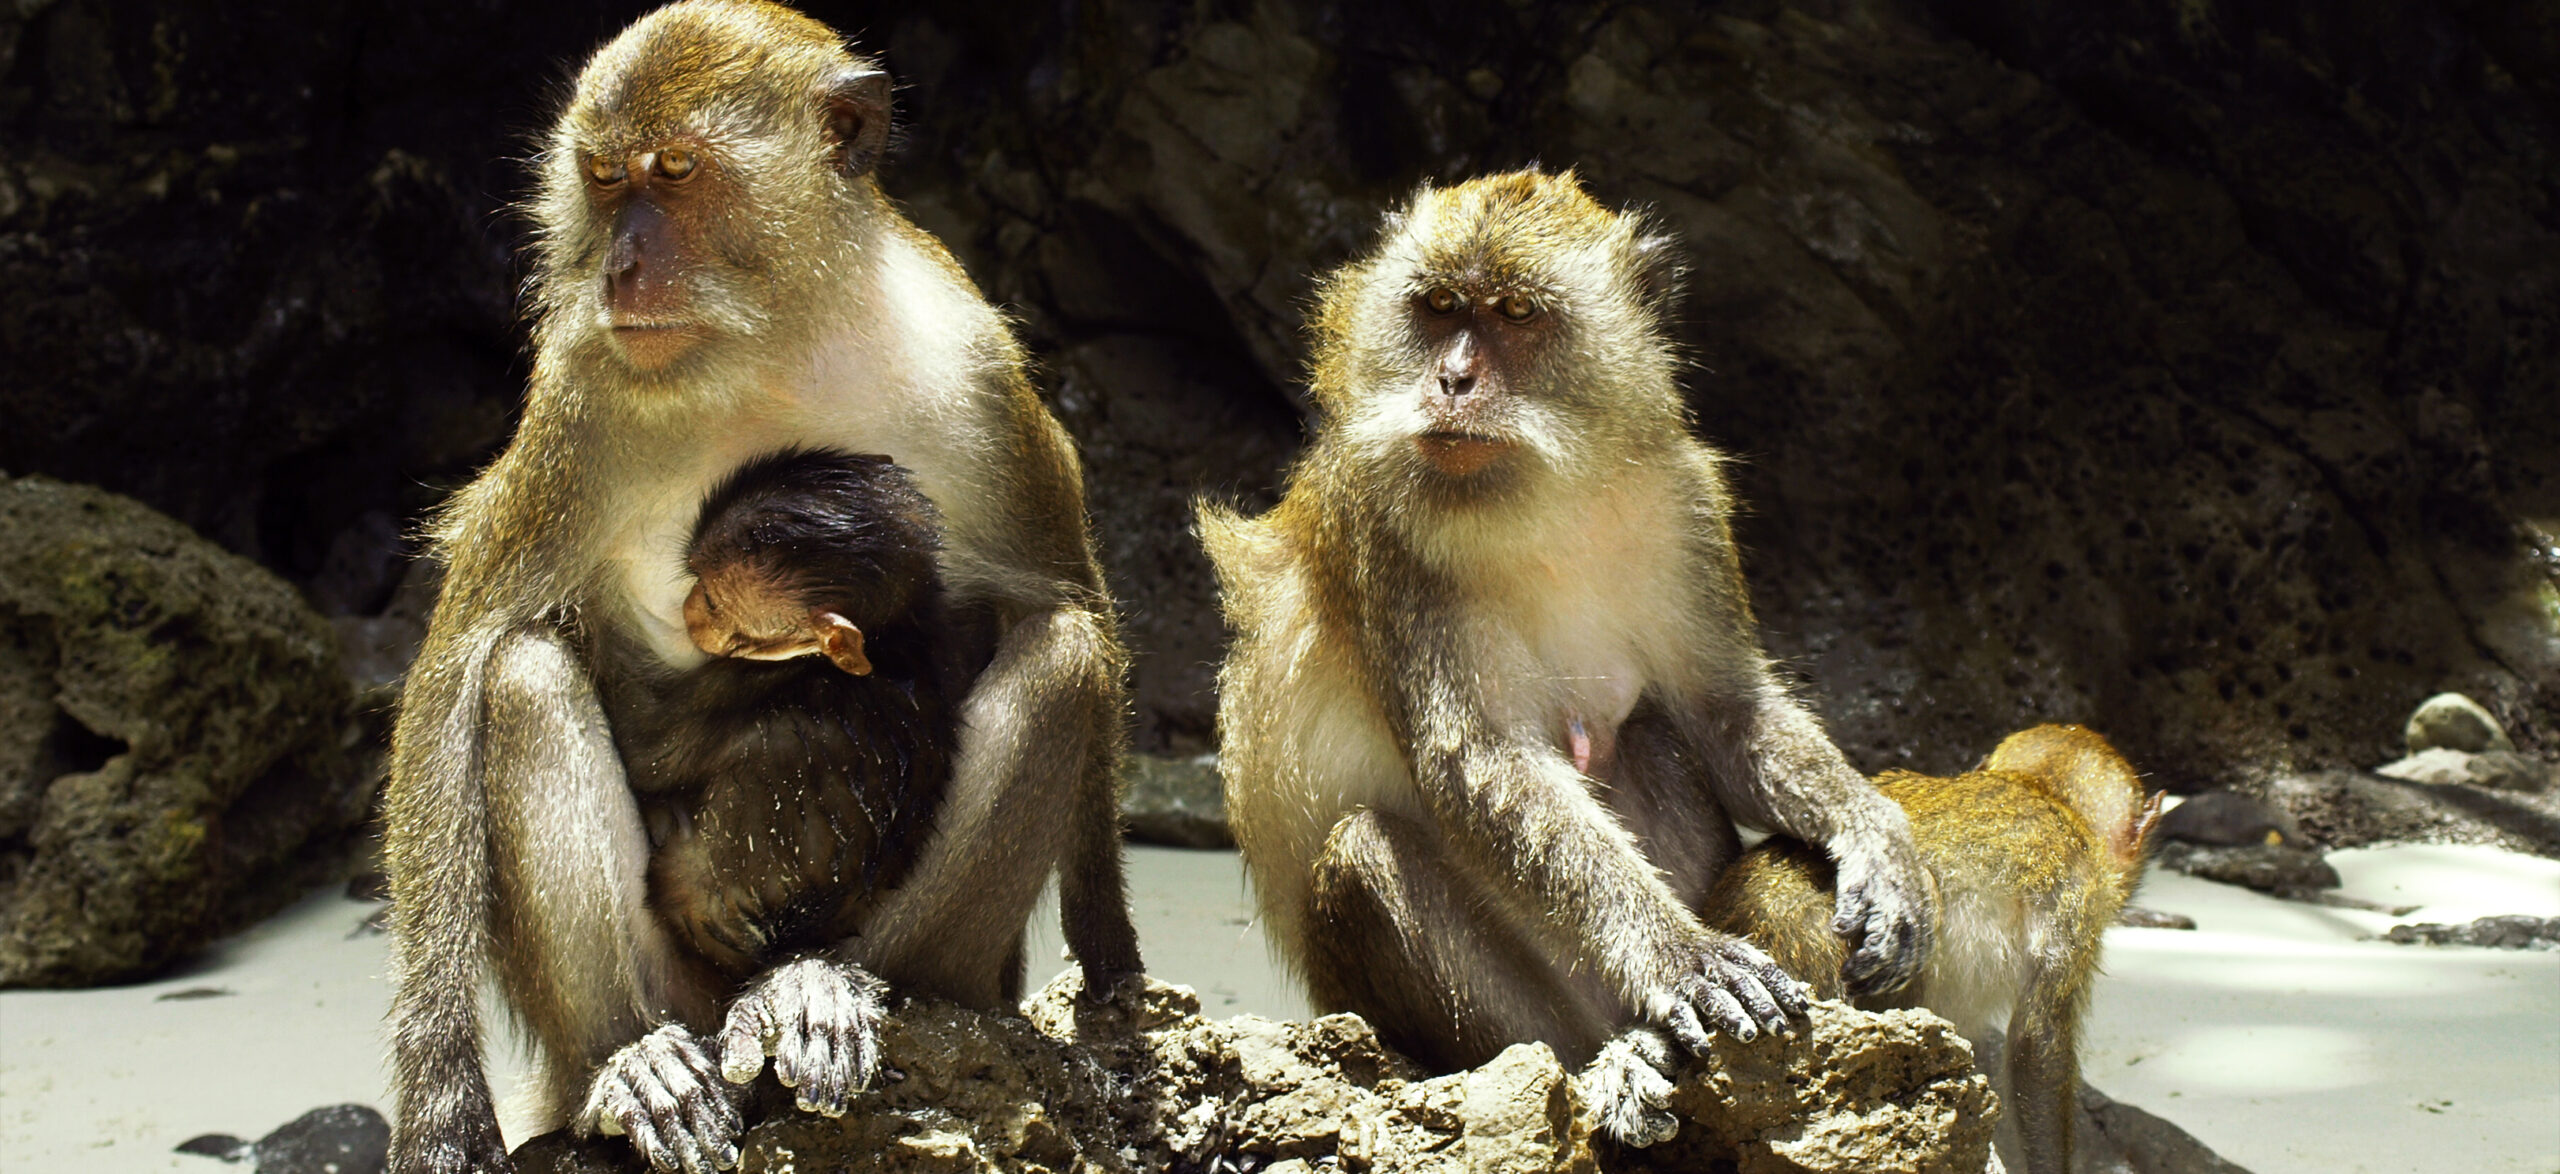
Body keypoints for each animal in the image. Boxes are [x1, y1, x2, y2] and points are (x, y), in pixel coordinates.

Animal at [619, 447, 982, 980]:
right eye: (696, 579)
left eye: (713, 601)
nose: (689, 611)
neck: (887, 638)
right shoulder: (946, 637)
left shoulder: (745, 677)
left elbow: (643, 750)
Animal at [1198, 169, 1932, 1142]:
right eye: (1439, 307)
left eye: (1514, 313)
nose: (1452, 378)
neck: (1541, 491)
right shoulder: (1379, 526)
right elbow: (1483, 763)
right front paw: (1681, 952)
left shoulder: (1685, 501)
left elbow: (1726, 711)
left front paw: (1877, 838)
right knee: (1364, 855)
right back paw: (1616, 1058)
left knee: (1654, 737)